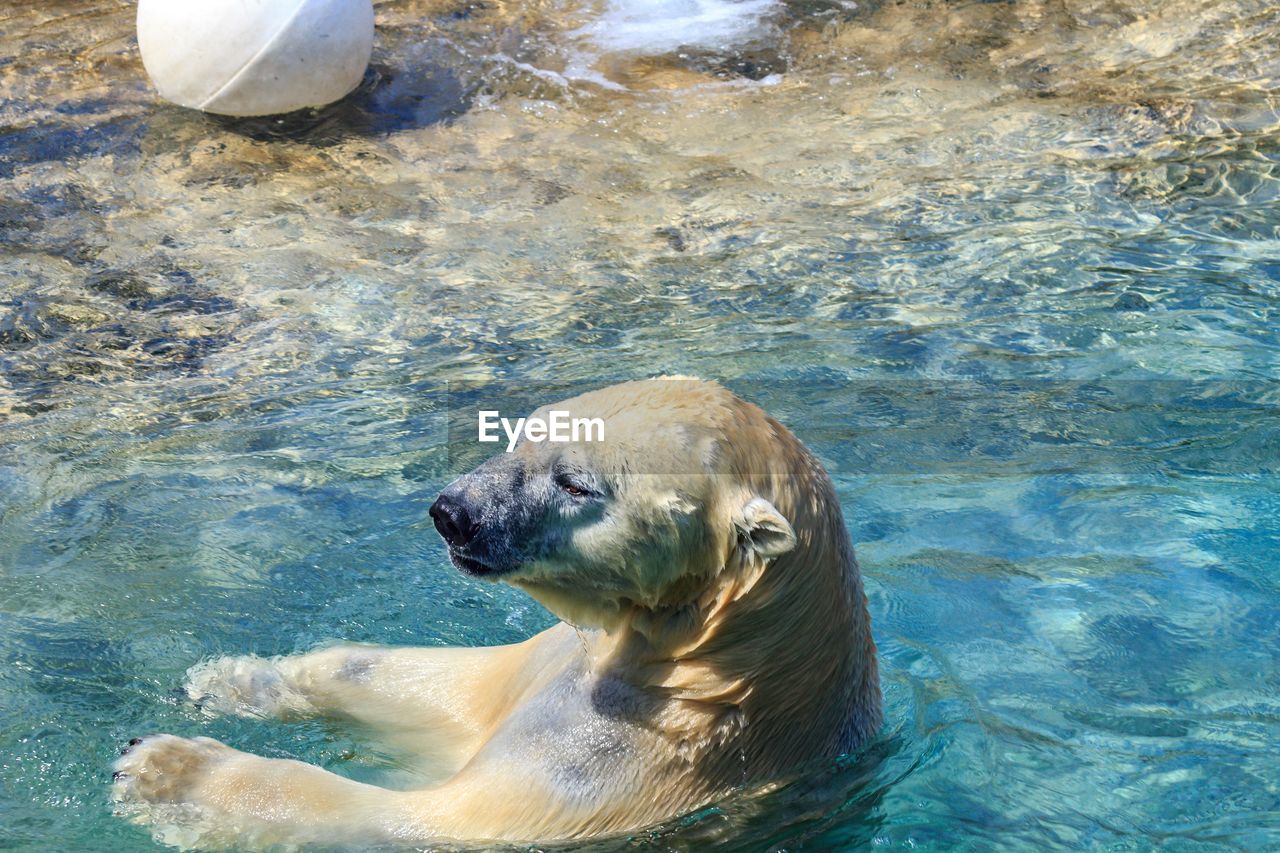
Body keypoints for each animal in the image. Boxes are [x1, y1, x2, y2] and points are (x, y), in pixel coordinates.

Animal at [115, 376, 880, 845]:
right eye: (523, 433)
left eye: (574, 481)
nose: (453, 513)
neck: (716, 671)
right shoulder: (559, 664)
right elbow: (445, 690)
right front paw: (230, 677)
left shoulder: (618, 770)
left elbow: (421, 817)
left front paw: (164, 769)